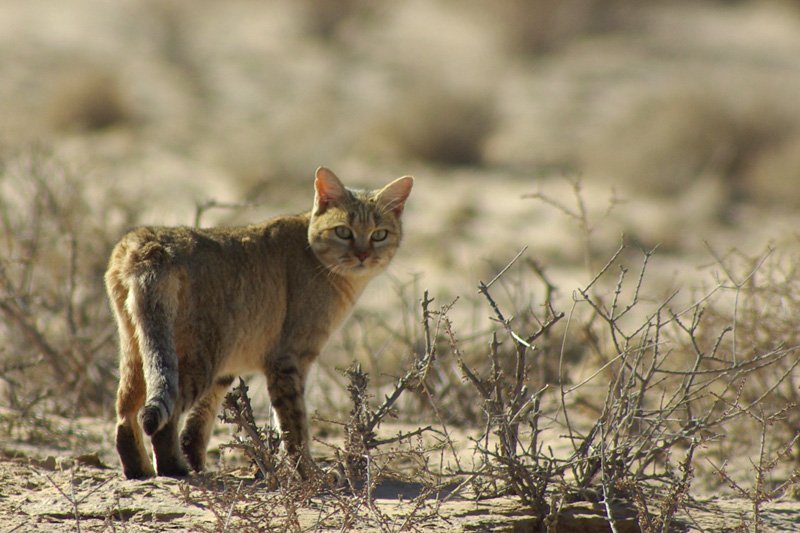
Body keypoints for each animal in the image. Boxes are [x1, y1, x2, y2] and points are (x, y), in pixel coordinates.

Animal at [104, 168, 412, 480]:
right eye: (343, 231)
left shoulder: (228, 369)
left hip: (137, 349)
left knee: (125, 413)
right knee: (165, 417)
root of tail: (149, 243)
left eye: (379, 235)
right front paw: (309, 474)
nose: (363, 255)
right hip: (199, 357)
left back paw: (140, 469)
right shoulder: (287, 360)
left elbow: (199, 423)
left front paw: (196, 458)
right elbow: (294, 426)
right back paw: (174, 469)